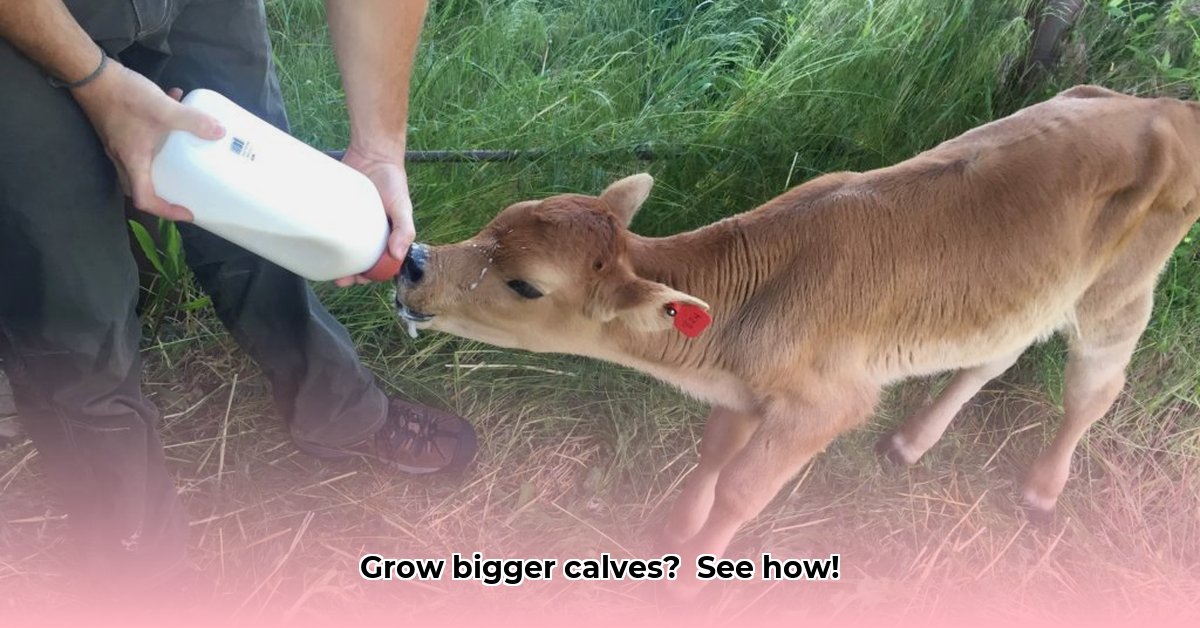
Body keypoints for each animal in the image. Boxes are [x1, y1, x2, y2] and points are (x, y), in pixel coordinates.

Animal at [393, 85, 1200, 589]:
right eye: (496, 221)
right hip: (1026, 293)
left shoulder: (827, 404)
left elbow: (744, 490)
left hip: (1119, 294)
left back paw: (1039, 490)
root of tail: (1164, 104)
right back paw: (911, 442)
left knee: (1094, 388)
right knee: (995, 354)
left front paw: (689, 583)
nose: (414, 262)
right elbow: (715, 453)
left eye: (525, 284)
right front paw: (674, 534)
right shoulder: (746, 390)